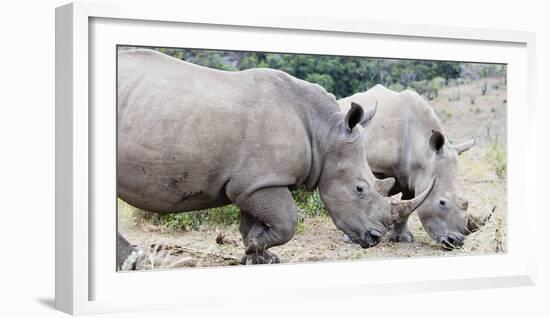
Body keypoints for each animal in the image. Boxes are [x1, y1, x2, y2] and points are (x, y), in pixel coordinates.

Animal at [116, 48, 436, 264]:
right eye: (359, 189)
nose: (375, 238)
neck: (326, 135)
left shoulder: (254, 182)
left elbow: (253, 223)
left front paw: (257, 255)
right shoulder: (260, 181)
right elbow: (287, 222)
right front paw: (255, 249)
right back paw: (136, 261)